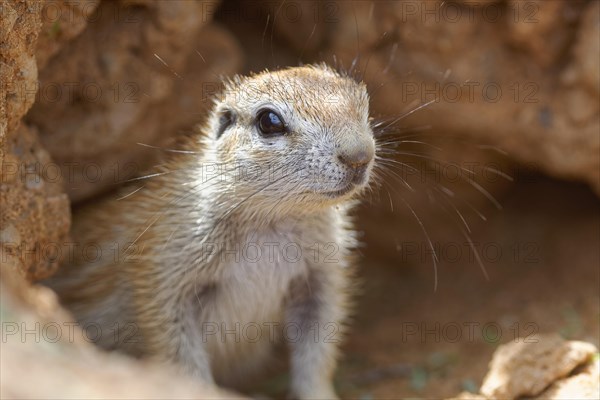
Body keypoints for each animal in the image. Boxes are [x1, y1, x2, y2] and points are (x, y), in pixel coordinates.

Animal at [47, 64, 376, 398]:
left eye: (362, 102)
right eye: (269, 122)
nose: (359, 156)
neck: (272, 222)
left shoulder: (320, 277)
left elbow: (317, 346)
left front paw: (318, 392)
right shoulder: (164, 271)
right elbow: (178, 352)